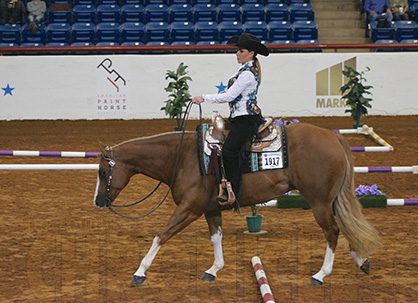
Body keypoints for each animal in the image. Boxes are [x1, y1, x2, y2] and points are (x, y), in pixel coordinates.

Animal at [94, 121, 382, 288]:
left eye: (102, 172)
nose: (98, 201)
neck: (182, 157)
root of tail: (334, 138)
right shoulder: (210, 209)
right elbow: (216, 238)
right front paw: (213, 269)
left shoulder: (189, 208)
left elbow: (161, 235)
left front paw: (139, 272)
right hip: (330, 201)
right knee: (343, 227)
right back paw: (362, 261)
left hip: (319, 201)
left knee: (332, 231)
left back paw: (321, 274)